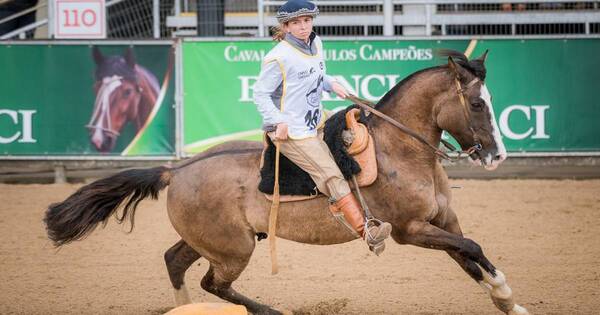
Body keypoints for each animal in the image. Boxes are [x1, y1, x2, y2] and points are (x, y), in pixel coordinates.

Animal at [43, 50, 528, 314]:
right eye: (477, 104)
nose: (497, 155)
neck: (399, 150)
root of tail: (175, 170)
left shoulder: (444, 220)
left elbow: (469, 256)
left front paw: (508, 300)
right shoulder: (410, 231)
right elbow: (472, 249)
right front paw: (507, 293)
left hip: (210, 241)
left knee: (175, 262)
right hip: (235, 249)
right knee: (214, 284)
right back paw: (272, 310)